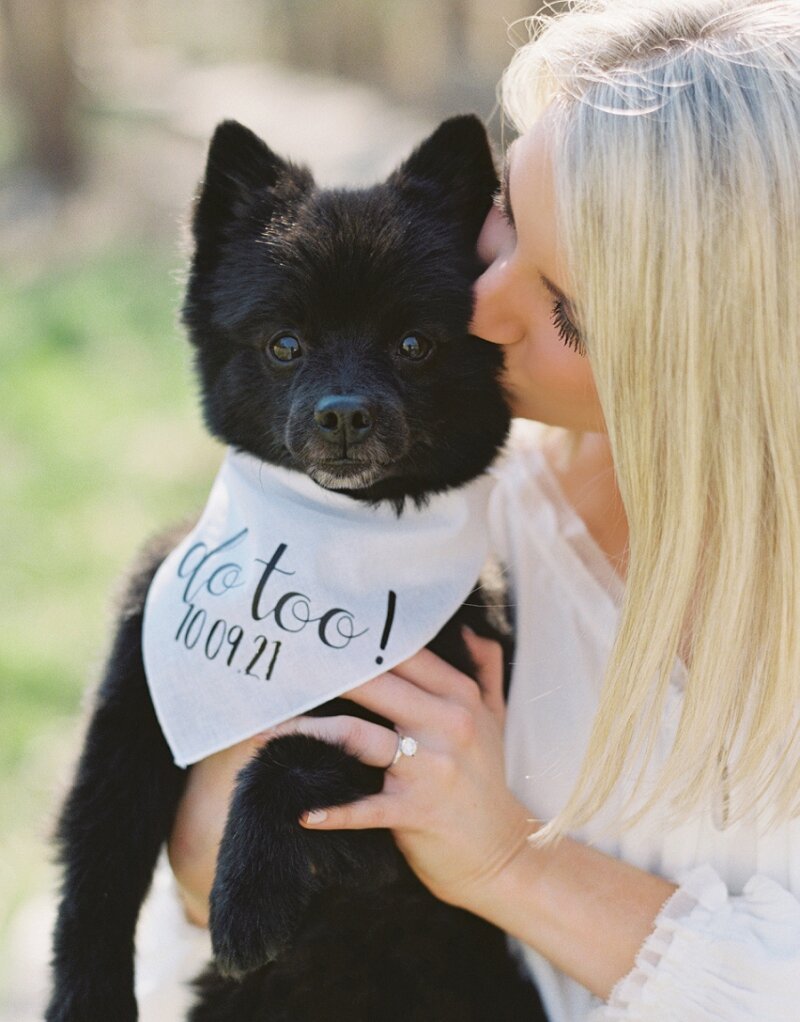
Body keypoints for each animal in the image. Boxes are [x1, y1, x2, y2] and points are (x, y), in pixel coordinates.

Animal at [45, 115, 543, 1017]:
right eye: (285, 344)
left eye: (413, 344)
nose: (344, 413)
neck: (330, 540)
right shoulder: (131, 713)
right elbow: (97, 866)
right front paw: (85, 995)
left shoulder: (415, 763)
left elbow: (293, 751)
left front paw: (243, 894)